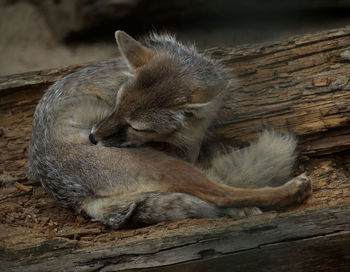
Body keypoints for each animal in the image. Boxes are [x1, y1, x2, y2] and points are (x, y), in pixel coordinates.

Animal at [28, 30, 312, 228]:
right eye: (115, 105)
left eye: (135, 126)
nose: (92, 137)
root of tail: (76, 198)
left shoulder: (192, 145)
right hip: (167, 167)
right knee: (221, 193)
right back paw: (289, 191)